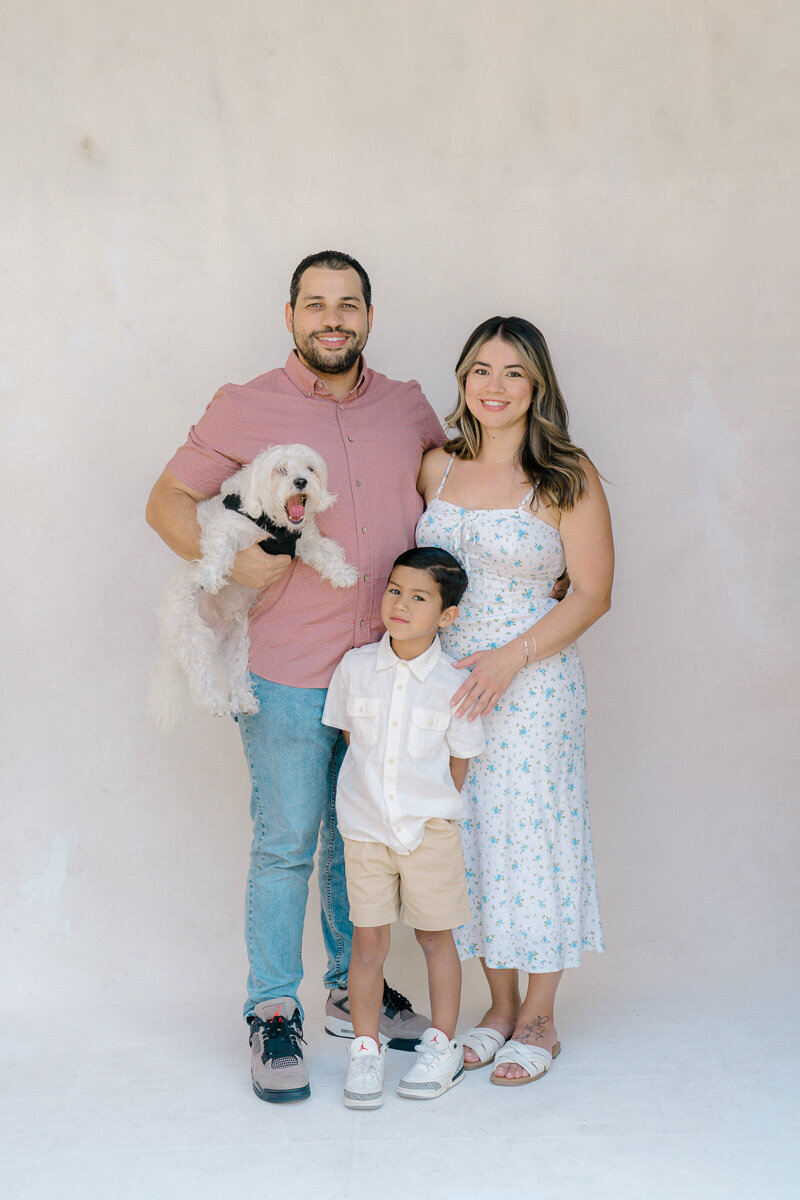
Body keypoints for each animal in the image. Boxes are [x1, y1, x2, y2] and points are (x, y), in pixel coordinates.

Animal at [151, 441, 357, 724]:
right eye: (280, 470)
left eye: (310, 468)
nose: (301, 481)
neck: (274, 525)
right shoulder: (227, 527)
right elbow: (219, 549)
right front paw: (210, 576)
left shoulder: (304, 540)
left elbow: (327, 552)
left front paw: (343, 573)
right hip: (192, 637)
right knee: (200, 677)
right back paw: (215, 703)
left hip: (238, 644)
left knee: (236, 674)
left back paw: (245, 701)